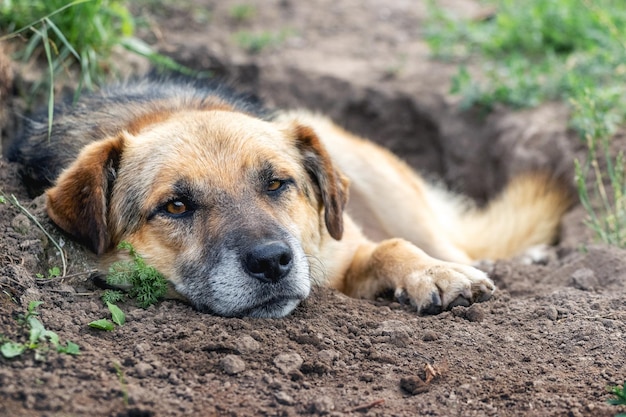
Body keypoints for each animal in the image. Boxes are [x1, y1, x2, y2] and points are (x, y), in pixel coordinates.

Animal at [8, 77, 572, 316]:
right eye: (175, 206)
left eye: (277, 183)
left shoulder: (342, 249)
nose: (273, 262)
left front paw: (435, 274)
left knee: (453, 241)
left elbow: (391, 247)